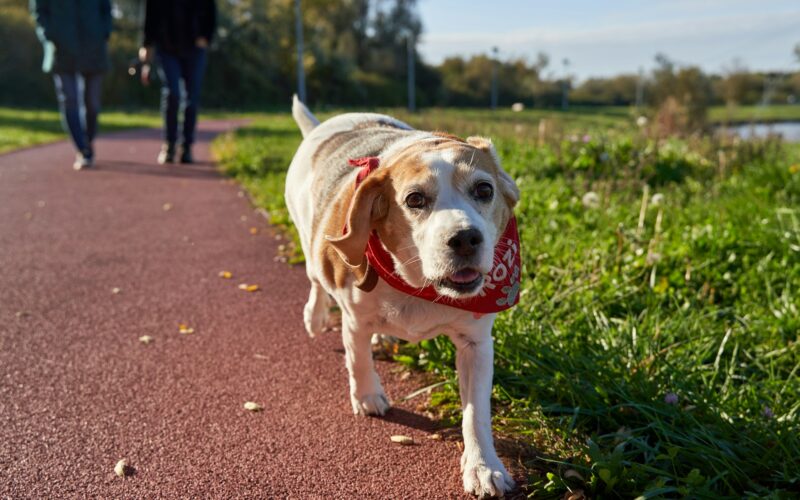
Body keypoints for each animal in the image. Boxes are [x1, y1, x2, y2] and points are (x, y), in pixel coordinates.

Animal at [284, 95, 520, 498]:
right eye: (414, 199)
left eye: (484, 190)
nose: (465, 238)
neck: (420, 282)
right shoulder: (355, 318)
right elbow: (358, 359)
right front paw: (367, 397)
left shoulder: (476, 344)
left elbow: (476, 414)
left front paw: (483, 467)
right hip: (310, 242)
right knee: (316, 281)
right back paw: (315, 316)